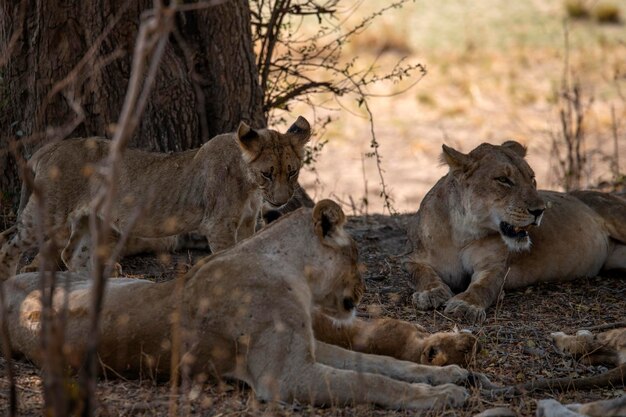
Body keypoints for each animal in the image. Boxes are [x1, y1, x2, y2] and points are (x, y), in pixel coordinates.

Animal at [0, 117, 310, 280]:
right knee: (9, 245)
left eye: (292, 171)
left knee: (71, 254)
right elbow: (226, 255)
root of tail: (49, 148)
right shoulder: (219, 225)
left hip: (88, 218)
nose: (282, 200)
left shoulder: (247, 222)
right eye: (267, 174)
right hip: (50, 211)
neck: (250, 185)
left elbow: (247, 249)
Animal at [3, 200, 468, 408]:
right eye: (356, 255)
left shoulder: (309, 349)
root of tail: (9, 288)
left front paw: (451, 373)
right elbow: (370, 382)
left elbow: (380, 365)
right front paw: (444, 395)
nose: (365, 288)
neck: (287, 267)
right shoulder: (286, 377)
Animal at [404, 140, 624, 322]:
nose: (540, 210)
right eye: (503, 179)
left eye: (532, 179)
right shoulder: (415, 259)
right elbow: (422, 274)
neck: (462, 233)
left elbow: (482, 287)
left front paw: (465, 306)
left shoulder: (496, 268)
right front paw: (431, 293)